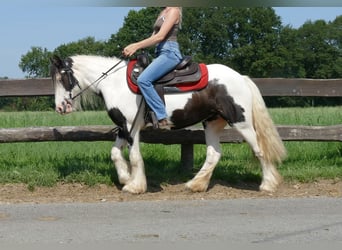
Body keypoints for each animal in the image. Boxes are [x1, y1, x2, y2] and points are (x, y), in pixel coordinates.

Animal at [50, 54, 286, 194]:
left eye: (62, 78)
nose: (60, 108)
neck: (114, 83)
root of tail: (240, 77)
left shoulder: (132, 126)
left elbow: (134, 156)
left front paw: (135, 186)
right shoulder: (123, 128)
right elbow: (115, 153)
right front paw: (125, 178)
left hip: (241, 122)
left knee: (259, 150)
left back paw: (267, 185)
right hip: (211, 123)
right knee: (214, 154)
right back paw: (195, 184)